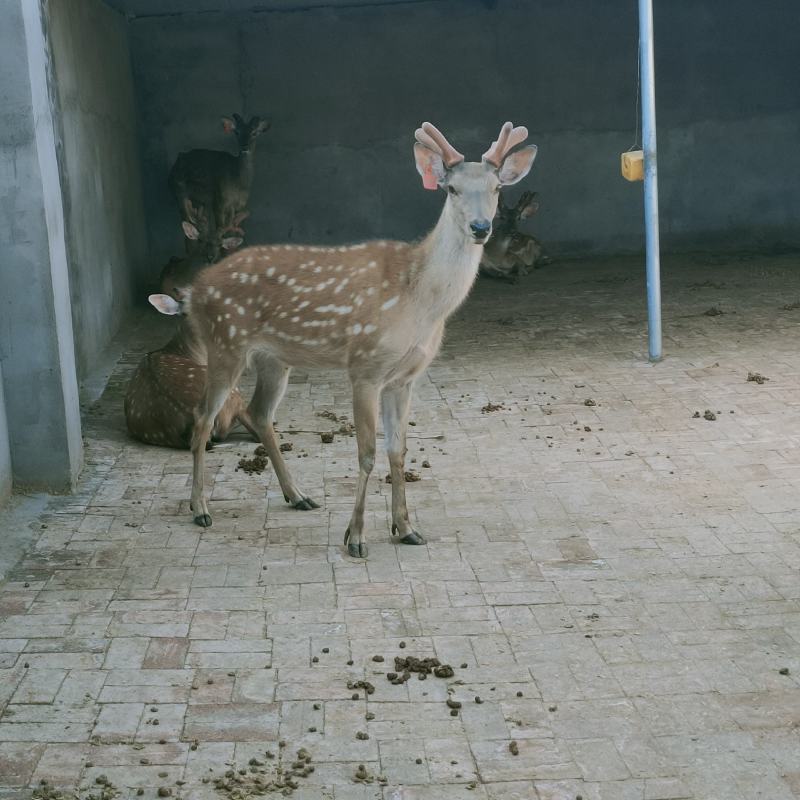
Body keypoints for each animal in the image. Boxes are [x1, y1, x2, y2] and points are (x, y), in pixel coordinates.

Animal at [168, 113, 270, 247]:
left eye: (254, 132)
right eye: (237, 132)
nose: (244, 147)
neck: (239, 183)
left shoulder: (240, 205)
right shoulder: (219, 201)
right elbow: (220, 228)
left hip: (201, 202)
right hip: (179, 192)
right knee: (186, 223)